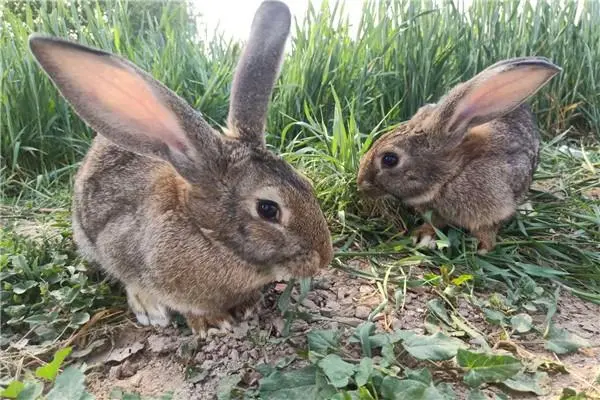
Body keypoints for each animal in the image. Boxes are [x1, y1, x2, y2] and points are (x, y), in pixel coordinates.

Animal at [29, 0, 332, 338]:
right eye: (268, 209)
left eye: (307, 185)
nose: (324, 257)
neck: (205, 233)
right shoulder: (117, 242)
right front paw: (210, 321)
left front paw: (246, 305)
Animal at [356, 57, 556, 253]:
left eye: (390, 159)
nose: (361, 184)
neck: (452, 174)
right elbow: (434, 223)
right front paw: (422, 236)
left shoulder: (499, 205)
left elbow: (488, 228)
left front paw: (482, 246)